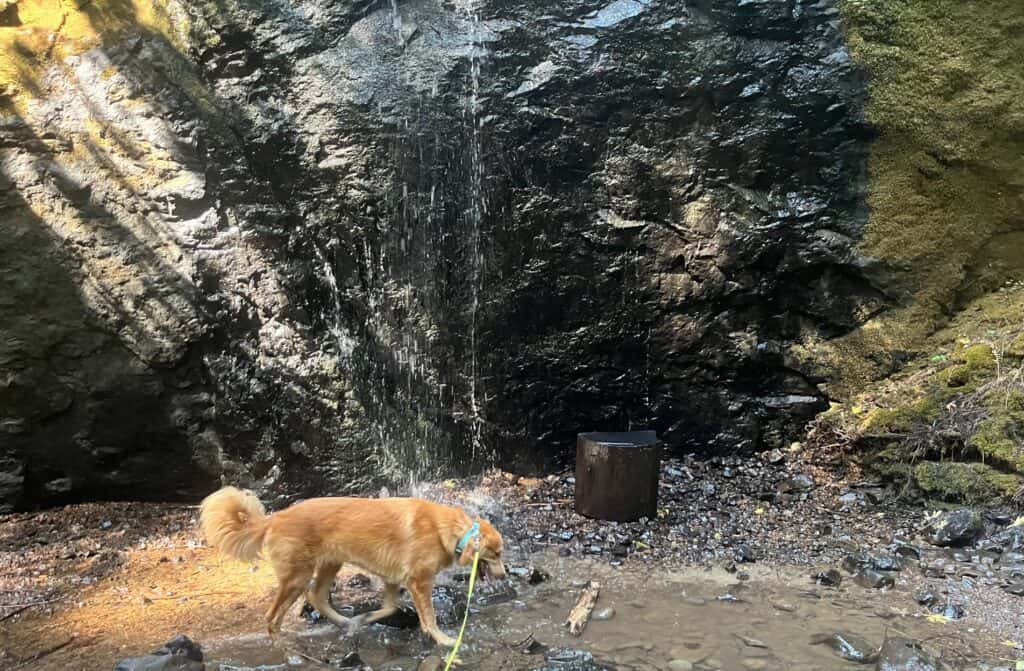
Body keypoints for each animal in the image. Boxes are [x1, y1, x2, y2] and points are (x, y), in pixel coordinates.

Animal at [197, 485, 505, 647]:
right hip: (297, 577)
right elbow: (428, 617)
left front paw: (366, 618)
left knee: (317, 597)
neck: (448, 530)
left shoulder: (393, 578)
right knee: (273, 617)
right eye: (496, 553)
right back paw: (282, 646)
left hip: (329, 565)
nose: (504, 575)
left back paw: (346, 622)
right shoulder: (419, 582)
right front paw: (444, 640)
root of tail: (274, 518)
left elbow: (390, 607)